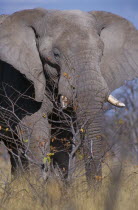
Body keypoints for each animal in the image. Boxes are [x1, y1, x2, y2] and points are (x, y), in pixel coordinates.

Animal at [0, 9, 137, 185]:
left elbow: (62, 135)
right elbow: (35, 129)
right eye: (56, 54)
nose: (94, 190)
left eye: (101, 54)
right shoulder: (20, 78)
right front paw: (38, 188)